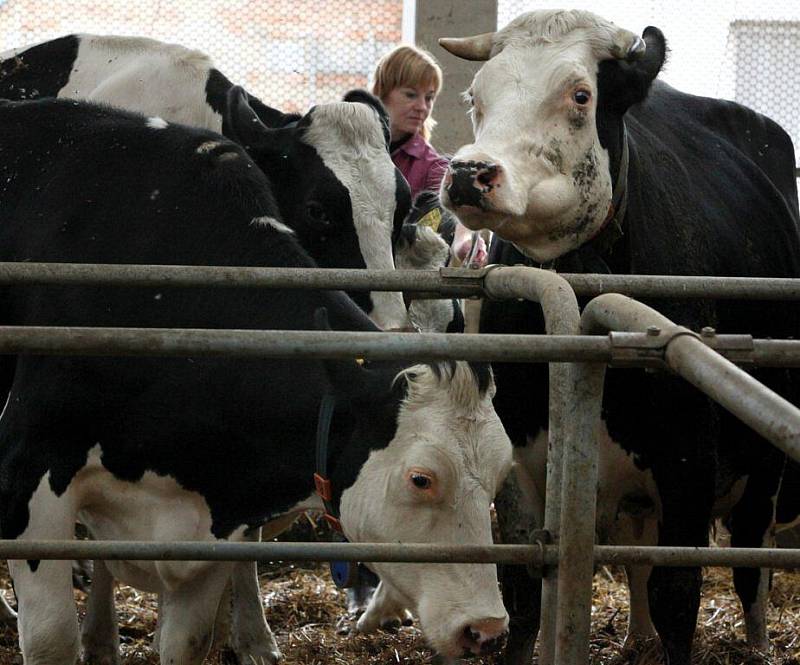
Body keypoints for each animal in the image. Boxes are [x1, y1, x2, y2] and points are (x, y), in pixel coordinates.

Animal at [0, 97, 512, 664]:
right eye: (421, 479)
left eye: (500, 474)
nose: (487, 628)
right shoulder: (28, 476)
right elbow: (52, 638)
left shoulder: (208, 527)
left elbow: (187, 640)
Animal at [438, 10, 800, 664]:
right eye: (475, 97)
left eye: (580, 95)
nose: (468, 172)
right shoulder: (520, 460)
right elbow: (523, 592)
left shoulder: (689, 464)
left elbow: (679, 595)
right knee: (636, 556)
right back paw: (636, 637)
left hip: (761, 460)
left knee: (749, 559)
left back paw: (758, 644)